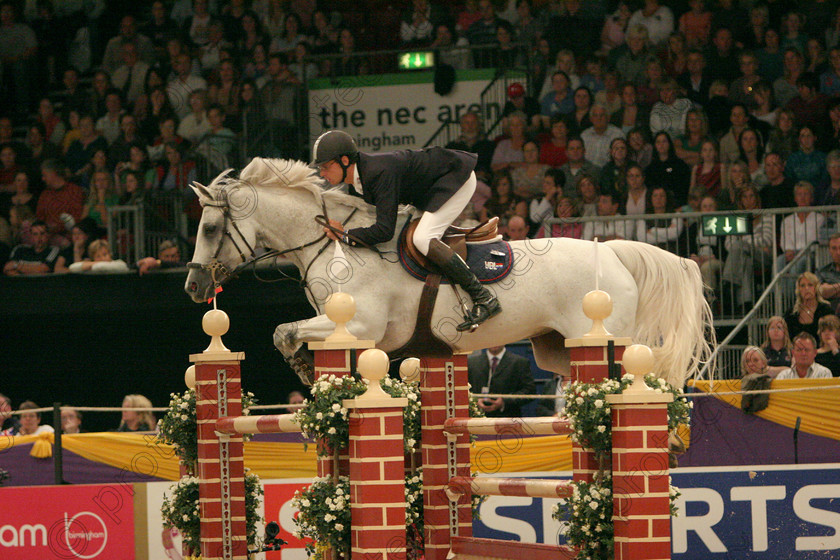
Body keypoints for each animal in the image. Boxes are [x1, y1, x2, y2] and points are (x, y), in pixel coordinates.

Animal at [185, 158, 716, 384]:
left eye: (210, 227)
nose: (193, 286)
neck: (332, 244)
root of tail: (613, 252)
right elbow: (286, 332)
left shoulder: (361, 326)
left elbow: (283, 331)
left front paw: (301, 367)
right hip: (556, 350)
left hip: (605, 341)